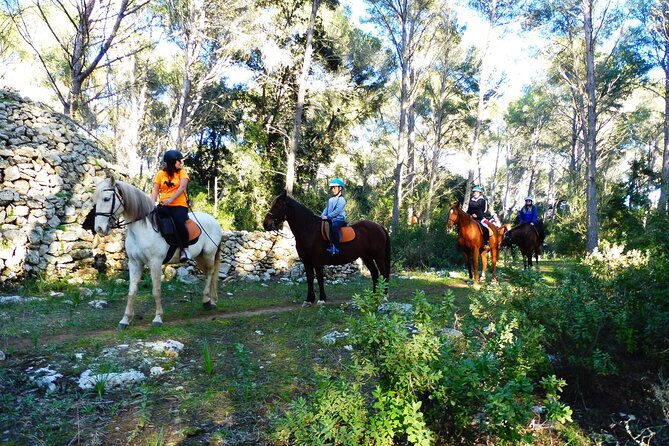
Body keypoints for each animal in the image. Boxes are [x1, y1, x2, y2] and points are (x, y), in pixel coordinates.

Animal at [92, 174, 223, 328]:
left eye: (106, 199)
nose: (99, 229)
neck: (142, 228)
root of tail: (214, 221)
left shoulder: (155, 262)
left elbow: (156, 290)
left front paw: (158, 318)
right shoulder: (135, 263)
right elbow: (132, 291)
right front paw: (125, 320)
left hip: (209, 254)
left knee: (211, 273)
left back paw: (207, 301)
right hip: (200, 257)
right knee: (209, 274)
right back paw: (211, 300)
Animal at [262, 190, 392, 304]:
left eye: (278, 206)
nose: (266, 224)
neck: (309, 230)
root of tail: (379, 227)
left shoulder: (317, 261)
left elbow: (319, 279)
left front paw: (321, 299)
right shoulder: (306, 262)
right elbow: (310, 279)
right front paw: (309, 300)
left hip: (378, 256)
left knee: (383, 273)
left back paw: (383, 297)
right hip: (367, 257)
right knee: (375, 273)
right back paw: (375, 296)